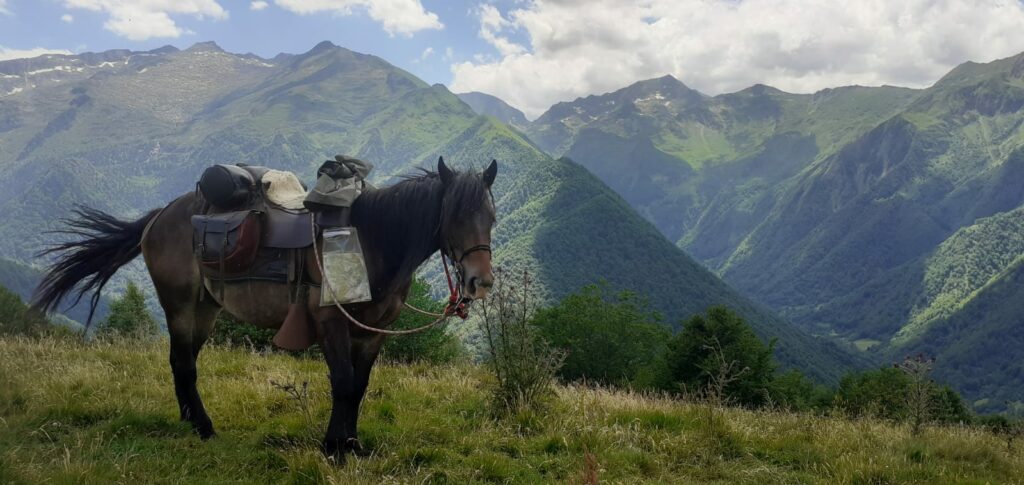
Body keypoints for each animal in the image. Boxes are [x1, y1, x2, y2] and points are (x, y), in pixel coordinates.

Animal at [30, 158, 495, 458]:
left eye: (490, 217)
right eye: (453, 215)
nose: (481, 281)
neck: (369, 242)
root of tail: (161, 215)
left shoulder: (373, 332)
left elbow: (360, 387)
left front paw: (353, 444)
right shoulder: (330, 323)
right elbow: (343, 383)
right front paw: (332, 447)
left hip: (205, 310)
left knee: (183, 361)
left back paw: (190, 422)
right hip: (179, 305)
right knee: (183, 363)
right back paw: (204, 428)